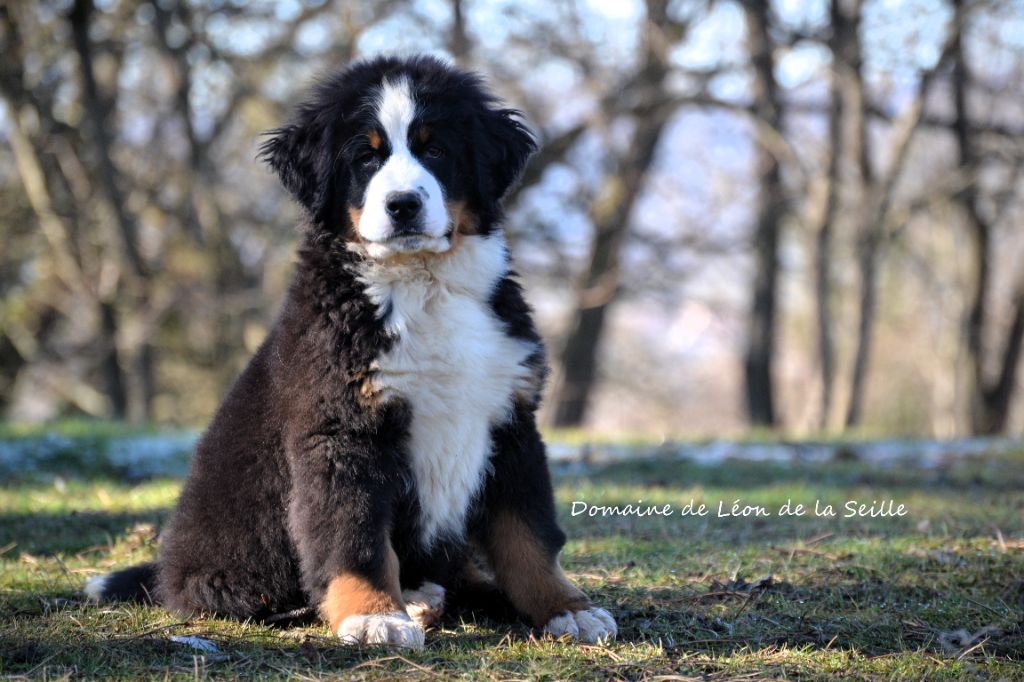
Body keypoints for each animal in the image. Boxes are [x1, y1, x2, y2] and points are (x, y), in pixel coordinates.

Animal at [83, 55, 610, 647]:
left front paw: (567, 608)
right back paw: (408, 602)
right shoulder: (342, 431)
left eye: (435, 150)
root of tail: (168, 572)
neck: (424, 286)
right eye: (366, 157)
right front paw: (375, 614)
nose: (403, 205)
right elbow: (356, 537)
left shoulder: (510, 420)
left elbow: (529, 537)